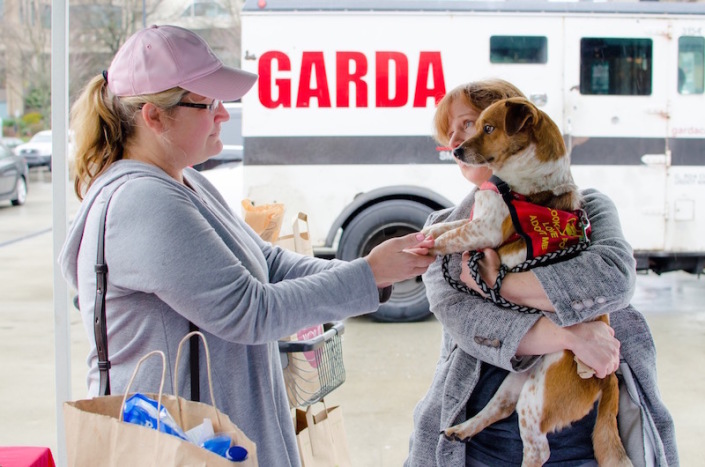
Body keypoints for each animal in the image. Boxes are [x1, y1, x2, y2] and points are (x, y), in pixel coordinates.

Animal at [420, 97, 628, 466]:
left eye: (488, 128)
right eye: (476, 125)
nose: (456, 150)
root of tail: (606, 378)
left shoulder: (486, 229)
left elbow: (453, 236)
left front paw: (426, 245)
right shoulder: (476, 220)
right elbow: (450, 225)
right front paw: (426, 232)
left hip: (537, 395)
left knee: (537, 448)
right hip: (516, 380)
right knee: (498, 408)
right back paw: (463, 429)